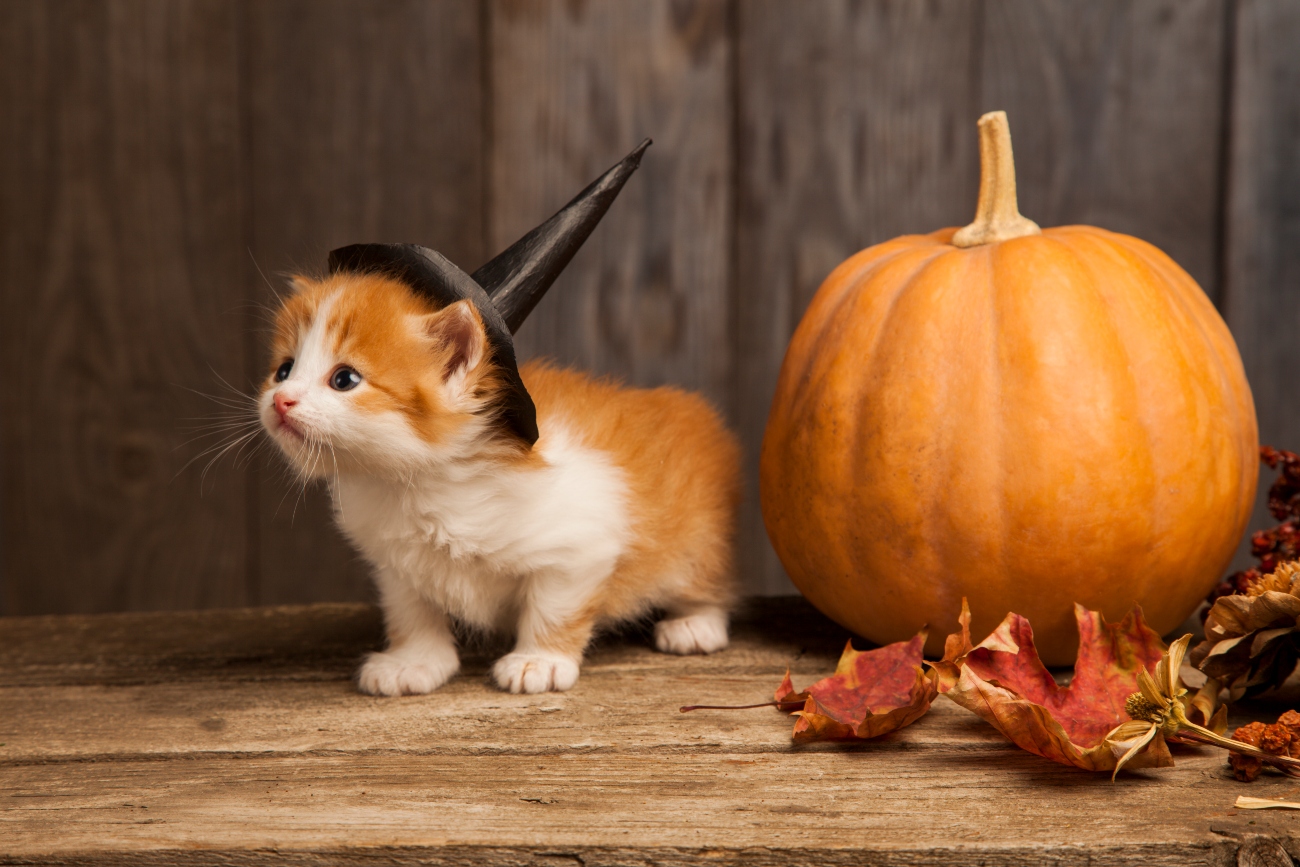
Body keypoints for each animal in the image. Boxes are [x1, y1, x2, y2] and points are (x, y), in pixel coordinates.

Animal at [258, 274, 743, 696]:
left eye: (344, 379)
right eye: (283, 370)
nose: (281, 400)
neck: (417, 483)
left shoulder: (580, 544)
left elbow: (553, 607)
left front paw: (539, 661)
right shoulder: (396, 562)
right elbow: (411, 609)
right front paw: (413, 662)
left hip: (697, 539)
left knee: (706, 580)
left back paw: (694, 624)